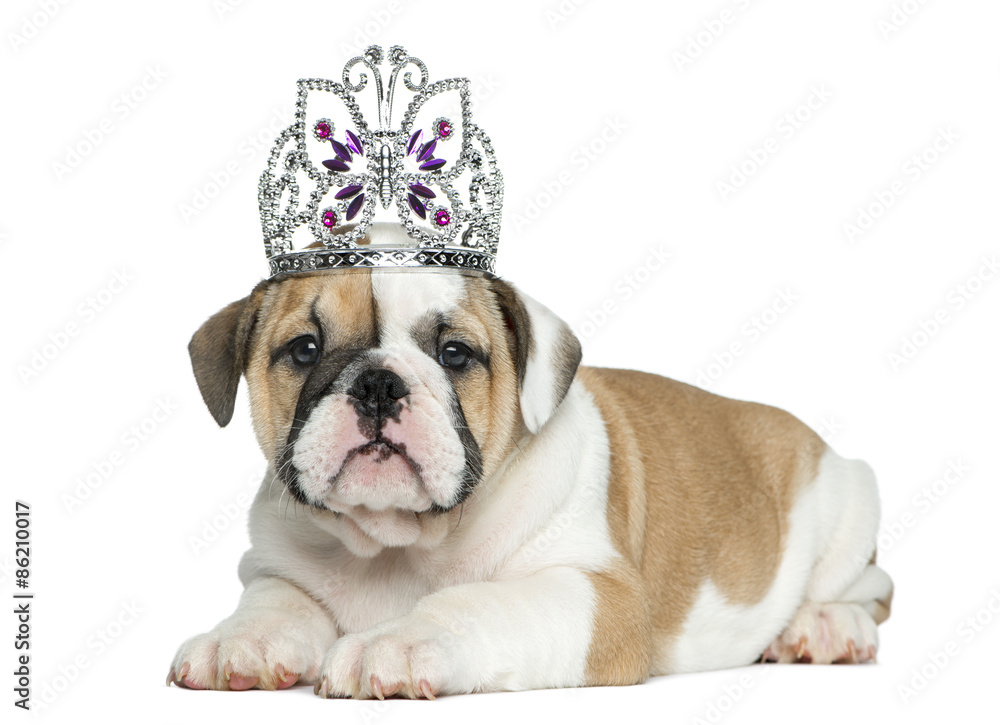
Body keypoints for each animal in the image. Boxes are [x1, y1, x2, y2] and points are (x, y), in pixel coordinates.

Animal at [168, 225, 896, 696]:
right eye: (304, 348)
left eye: (455, 353)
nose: (377, 384)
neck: (397, 542)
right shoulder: (272, 560)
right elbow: (275, 599)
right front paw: (241, 639)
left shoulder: (592, 593)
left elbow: (478, 602)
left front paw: (398, 641)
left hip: (846, 505)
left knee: (869, 589)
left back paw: (825, 627)